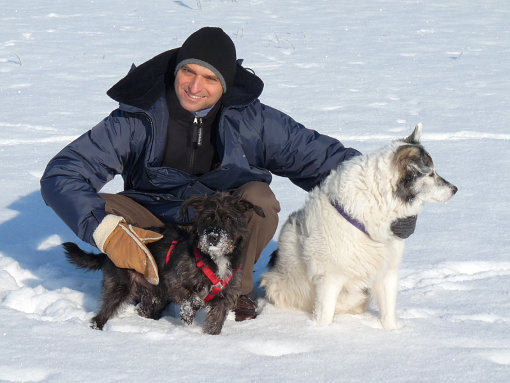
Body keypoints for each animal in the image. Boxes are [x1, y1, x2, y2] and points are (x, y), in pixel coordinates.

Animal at [62, 194, 264, 334]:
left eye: (228, 218)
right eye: (207, 217)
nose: (212, 237)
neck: (214, 258)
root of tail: (109, 249)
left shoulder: (224, 297)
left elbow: (215, 320)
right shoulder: (175, 280)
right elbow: (194, 298)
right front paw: (188, 314)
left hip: (153, 293)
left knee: (145, 309)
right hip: (121, 286)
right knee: (102, 313)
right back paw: (97, 328)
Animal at [260, 125, 456, 330]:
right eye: (431, 173)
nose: (455, 189)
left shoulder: (387, 273)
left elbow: (388, 312)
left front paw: (392, 332)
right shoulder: (329, 279)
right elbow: (324, 316)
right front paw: (321, 333)